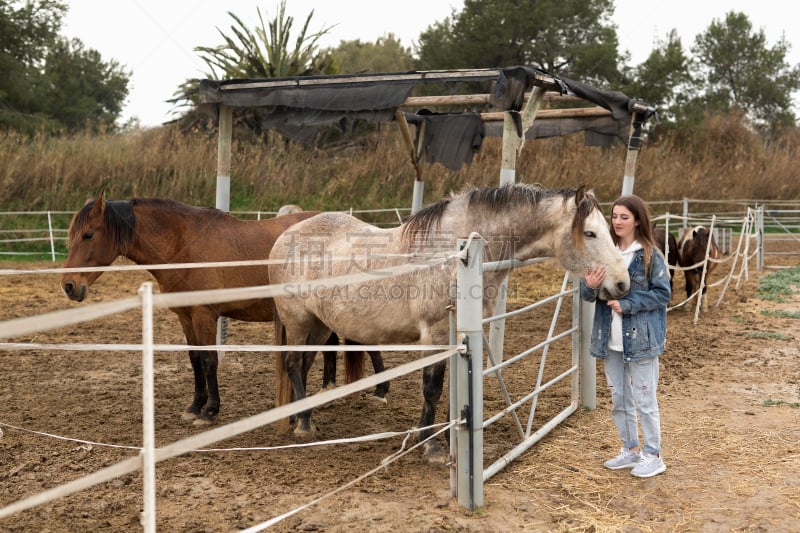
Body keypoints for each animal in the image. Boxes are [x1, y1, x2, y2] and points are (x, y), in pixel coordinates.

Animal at [61, 193, 382, 422]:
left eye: (88, 234)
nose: (69, 285)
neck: (183, 245)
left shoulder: (205, 315)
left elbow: (209, 360)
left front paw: (210, 411)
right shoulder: (186, 316)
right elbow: (194, 359)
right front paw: (194, 406)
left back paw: (376, 391)